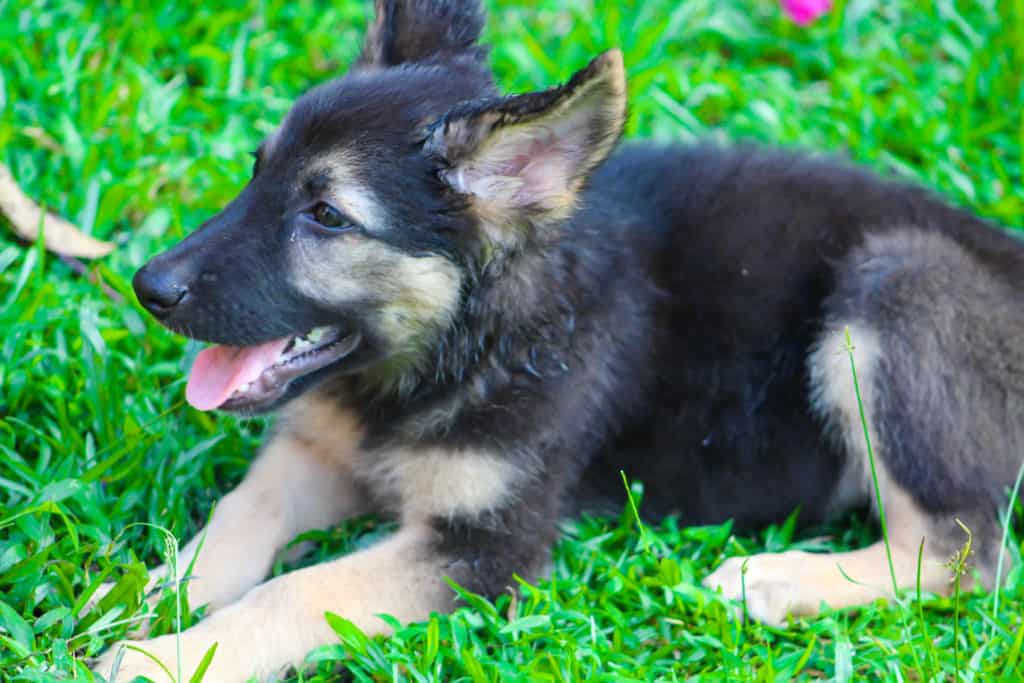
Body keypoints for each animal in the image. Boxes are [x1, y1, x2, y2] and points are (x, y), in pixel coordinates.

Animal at [97, 1, 1024, 679]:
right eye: (259, 171)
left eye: (325, 215)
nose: (148, 287)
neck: (457, 351)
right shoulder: (320, 448)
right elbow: (240, 511)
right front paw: (153, 589)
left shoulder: (483, 550)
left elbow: (292, 591)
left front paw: (164, 656)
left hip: (894, 287)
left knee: (961, 551)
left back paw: (773, 576)